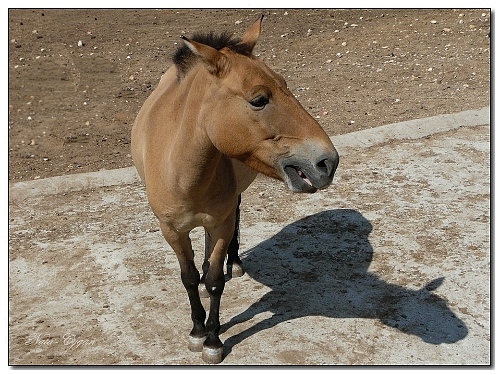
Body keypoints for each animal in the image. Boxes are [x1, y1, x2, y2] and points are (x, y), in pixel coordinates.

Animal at [130, 16, 340, 366]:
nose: (328, 162)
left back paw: (235, 262)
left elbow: (216, 281)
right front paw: (197, 331)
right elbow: (188, 278)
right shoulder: (171, 230)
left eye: (285, 84)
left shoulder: (221, 222)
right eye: (259, 100)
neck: (182, 172)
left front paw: (213, 340)